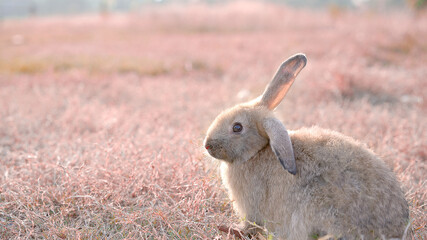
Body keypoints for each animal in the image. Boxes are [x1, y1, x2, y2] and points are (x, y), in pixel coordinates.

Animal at [204, 54, 412, 240]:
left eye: (237, 127)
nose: (207, 145)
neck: (257, 152)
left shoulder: (251, 206)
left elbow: (250, 225)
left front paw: (229, 229)